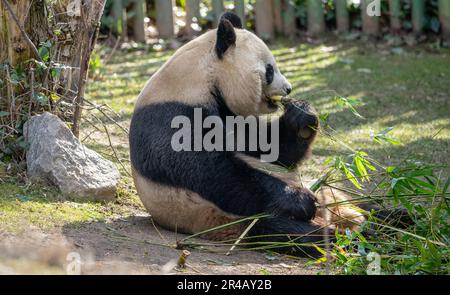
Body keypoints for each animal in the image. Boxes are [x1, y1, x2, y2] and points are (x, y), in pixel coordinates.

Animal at [129, 12, 366, 256]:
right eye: (270, 70)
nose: (288, 89)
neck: (203, 78)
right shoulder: (172, 113)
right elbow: (208, 170)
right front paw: (299, 200)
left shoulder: (232, 115)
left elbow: (271, 150)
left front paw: (301, 117)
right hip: (226, 218)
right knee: (284, 231)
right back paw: (347, 235)